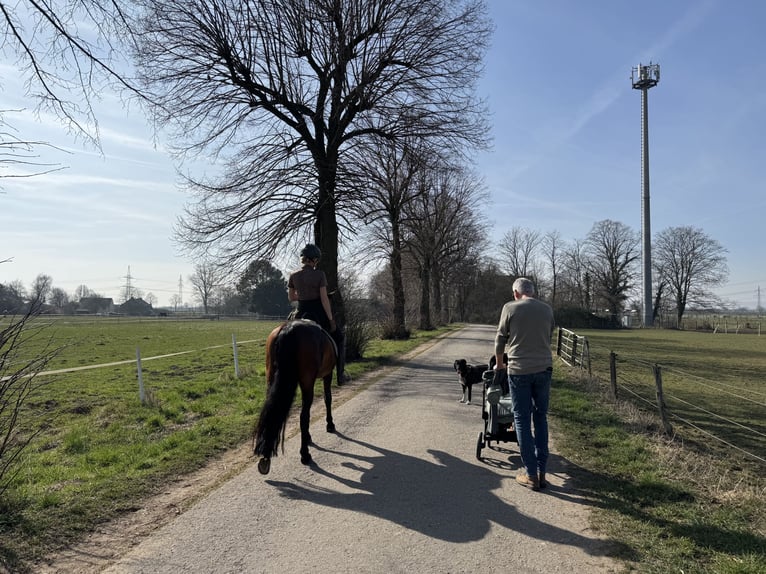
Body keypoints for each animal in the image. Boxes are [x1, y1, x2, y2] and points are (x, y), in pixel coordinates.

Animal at [255, 320, 336, 476]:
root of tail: (288, 328)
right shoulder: (328, 374)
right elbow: (327, 399)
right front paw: (330, 424)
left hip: (271, 379)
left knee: (270, 413)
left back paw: (265, 456)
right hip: (307, 382)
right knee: (304, 417)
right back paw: (305, 454)